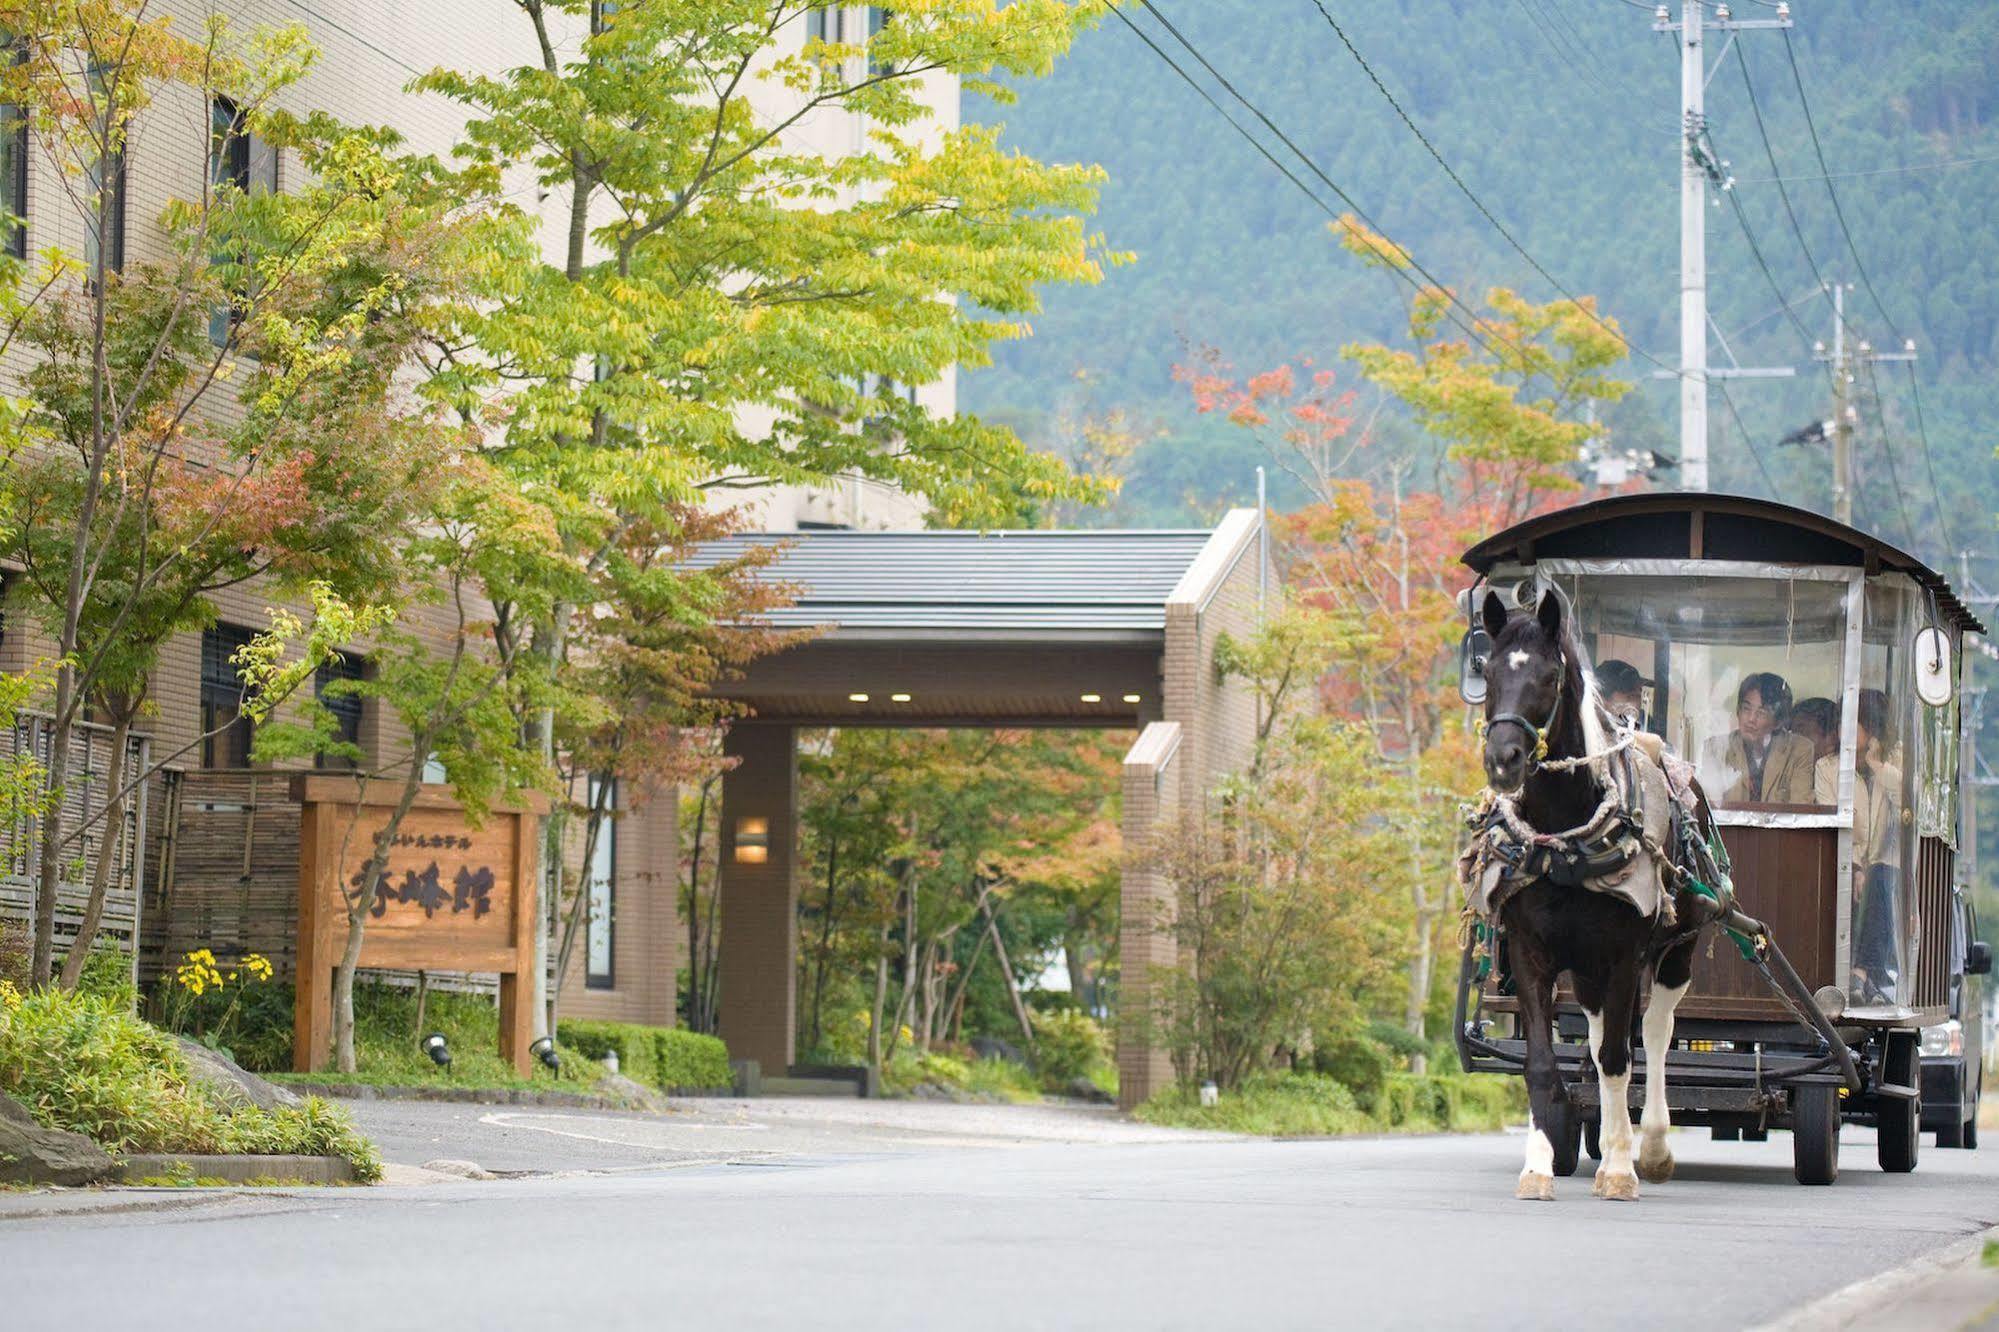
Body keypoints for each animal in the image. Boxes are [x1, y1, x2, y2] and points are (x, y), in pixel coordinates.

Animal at [1479, 588, 1695, 1200]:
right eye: (1486, 672)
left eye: (1549, 677)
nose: (1502, 759)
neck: (1565, 843)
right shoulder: (1531, 953)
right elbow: (1544, 1064)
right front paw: (1538, 1166)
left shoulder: (1624, 955)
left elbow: (1621, 1058)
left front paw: (1621, 1167)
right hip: (1586, 967)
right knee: (1598, 1039)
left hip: (1677, 949)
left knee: (1655, 1032)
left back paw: (1651, 1147)